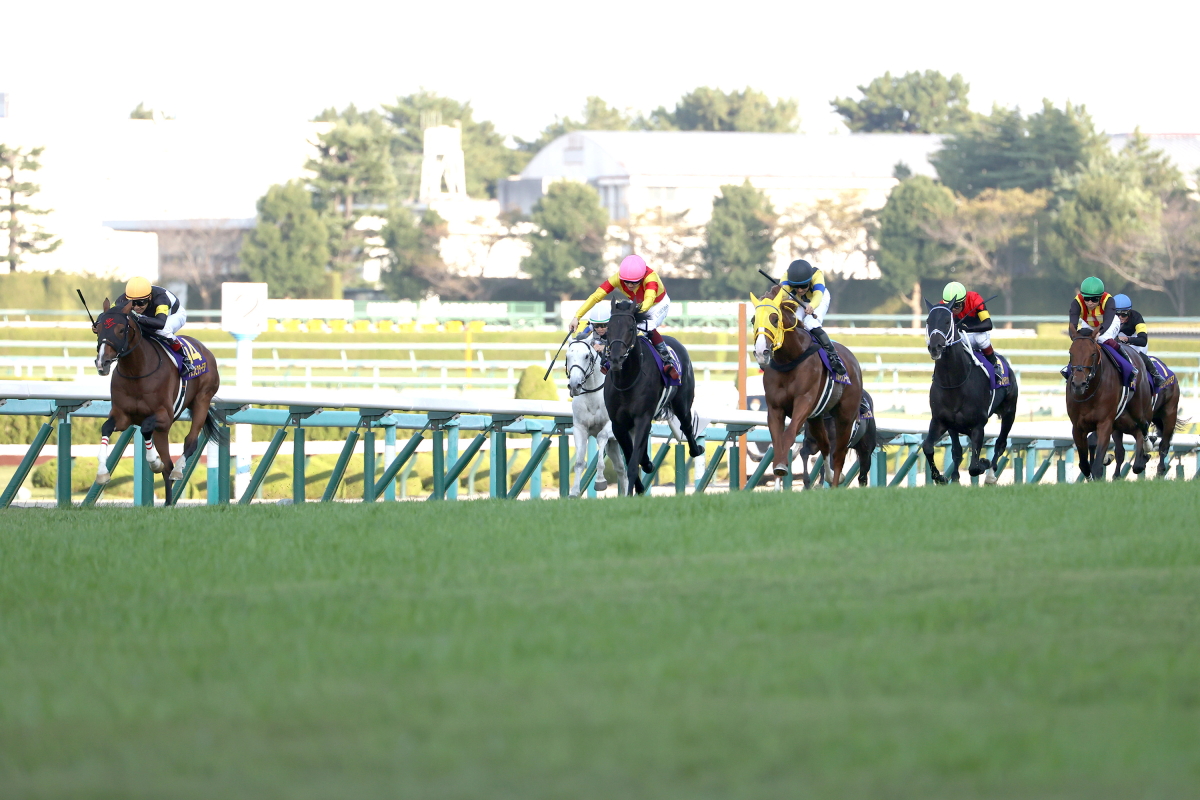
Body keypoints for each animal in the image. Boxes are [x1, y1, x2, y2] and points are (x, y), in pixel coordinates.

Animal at [91, 299, 223, 506]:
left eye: (121, 330)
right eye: (98, 329)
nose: (101, 363)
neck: (136, 372)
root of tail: (204, 349)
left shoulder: (164, 416)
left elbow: (145, 428)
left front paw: (154, 461)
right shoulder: (123, 416)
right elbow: (106, 427)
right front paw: (102, 472)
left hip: (202, 399)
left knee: (189, 443)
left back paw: (177, 470)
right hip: (163, 430)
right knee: (167, 464)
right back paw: (168, 502)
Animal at [609, 299, 700, 494]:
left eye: (631, 328)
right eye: (609, 327)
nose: (615, 359)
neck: (627, 380)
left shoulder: (643, 417)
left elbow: (633, 462)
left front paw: (632, 490)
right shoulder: (618, 424)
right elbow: (630, 456)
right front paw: (640, 482)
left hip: (682, 403)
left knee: (687, 426)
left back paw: (696, 449)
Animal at [753, 287, 859, 489]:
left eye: (774, 319)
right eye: (753, 319)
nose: (761, 352)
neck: (789, 359)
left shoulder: (804, 401)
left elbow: (789, 434)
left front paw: (781, 467)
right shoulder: (775, 408)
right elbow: (777, 440)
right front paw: (778, 473)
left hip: (845, 416)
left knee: (839, 453)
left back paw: (835, 483)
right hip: (816, 418)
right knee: (825, 445)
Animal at [921, 303, 1017, 484]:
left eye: (947, 321)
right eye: (928, 321)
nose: (935, 347)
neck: (953, 383)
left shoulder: (978, 425)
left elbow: (974, 466)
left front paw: (984, 462)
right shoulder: (941, 421)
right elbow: (930, 447)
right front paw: (942, 477)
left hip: (1009, 411)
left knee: (1000, 443)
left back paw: (991, 475)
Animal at [1070, 326, 1152, 479]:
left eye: (1093, 354)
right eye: (1071, 353)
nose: (1078, 384)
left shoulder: (1105, 423)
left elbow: (1097, 465)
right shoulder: (1078, 427)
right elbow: (1084, 465)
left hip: (1139, 410)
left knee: (1143, 426)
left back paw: (1146, 448)